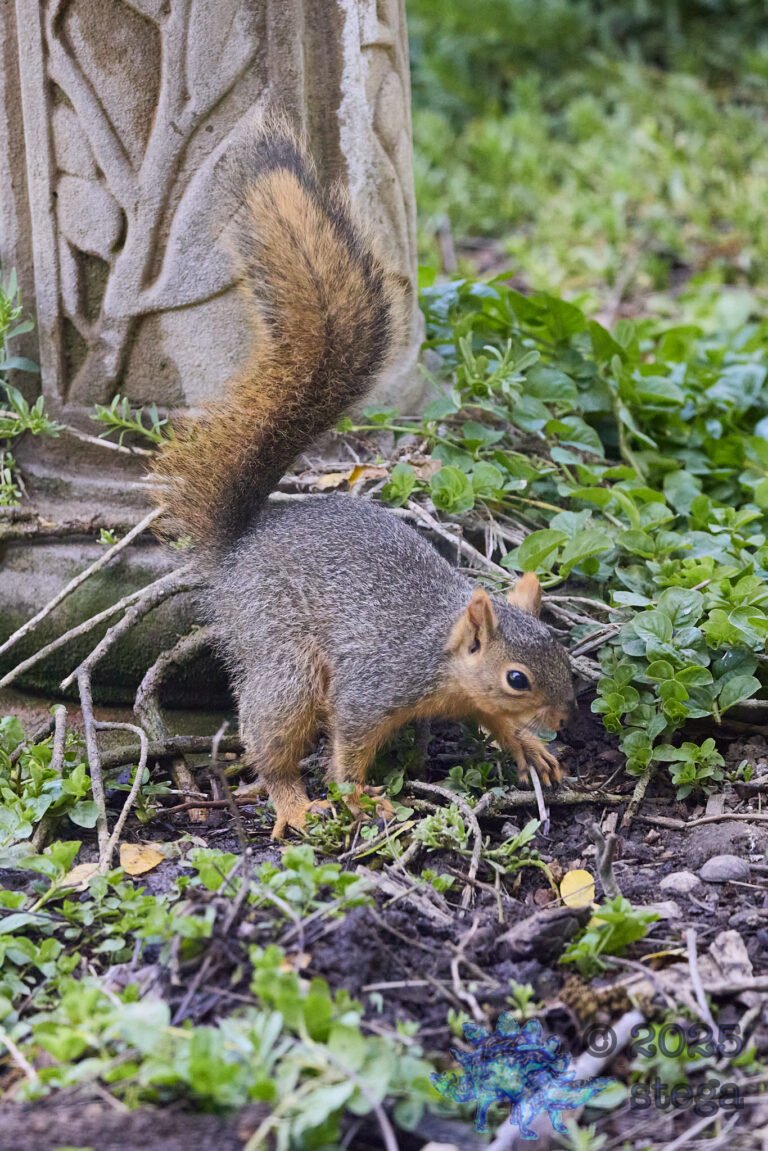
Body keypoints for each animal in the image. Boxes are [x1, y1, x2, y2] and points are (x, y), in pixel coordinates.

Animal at [152, 118, 575, 838]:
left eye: (562, 653)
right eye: (519, 678)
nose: (562, 716)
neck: (442, 653)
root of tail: (240, 545)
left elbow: (489, 722)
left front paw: (525, 745)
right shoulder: (376, 685)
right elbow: (349, 742)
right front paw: (356, 794)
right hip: (285, 657)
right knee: (272, 740)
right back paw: (294, 803)